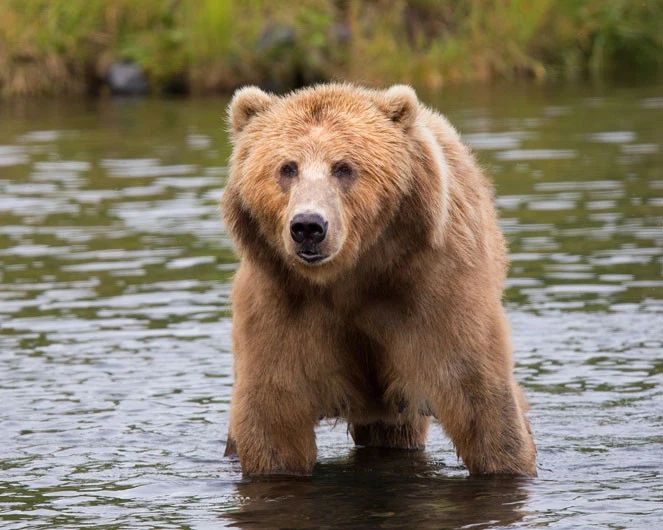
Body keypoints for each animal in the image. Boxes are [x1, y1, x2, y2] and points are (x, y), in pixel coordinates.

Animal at [220, 83, 537, 477]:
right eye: (287, 168)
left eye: (343, 167)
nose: (308, 226)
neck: (351, 276)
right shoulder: (282, 303)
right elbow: (274, 414)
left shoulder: (434, 291)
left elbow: (479, 396)